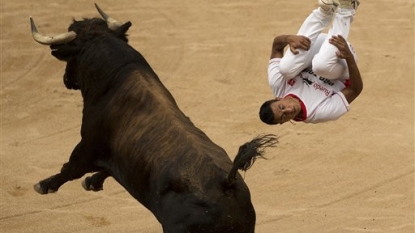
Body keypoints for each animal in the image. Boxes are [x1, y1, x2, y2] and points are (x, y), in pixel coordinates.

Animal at [30, 4, 280, 233]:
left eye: (71, 56)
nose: (66, 80)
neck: (116, 74)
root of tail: (226, 183)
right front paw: (92, 182)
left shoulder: (87, 144)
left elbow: (70, 168)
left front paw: (44, 185)